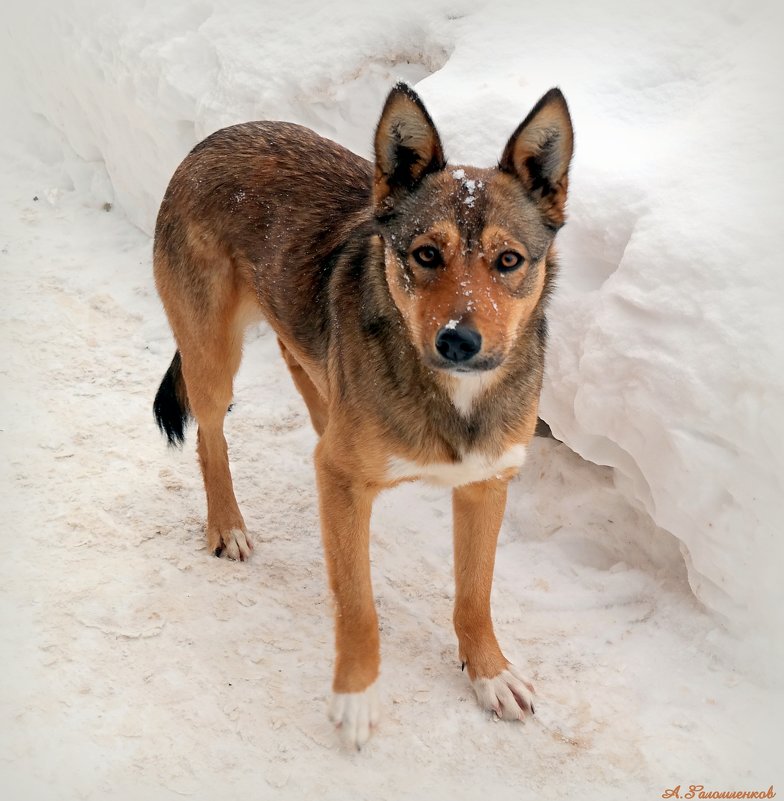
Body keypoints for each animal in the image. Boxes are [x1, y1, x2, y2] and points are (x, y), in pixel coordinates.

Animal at [150, 84, 572, 748]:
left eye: (508, 260)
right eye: (426, 254)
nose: (459, 341)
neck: (453, 397)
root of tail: (215, 138)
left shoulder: (485, 484)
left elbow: (475, 594)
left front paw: (489, 672)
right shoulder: (344, 482)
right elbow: (357, 604)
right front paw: (356, 695)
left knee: (305, 378)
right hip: (212, 356)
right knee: (212, 432)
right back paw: (226, 525)